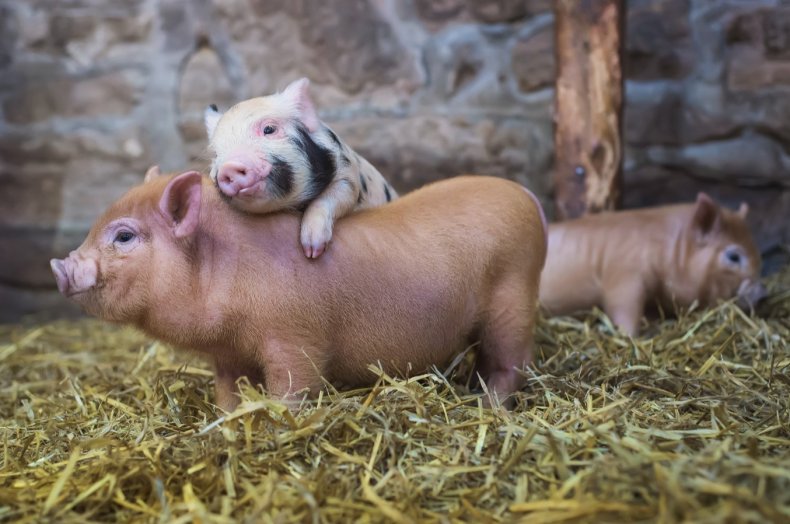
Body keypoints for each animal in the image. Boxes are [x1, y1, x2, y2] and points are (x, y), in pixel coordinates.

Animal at [48, 170, 544, 412]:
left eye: (124, 236)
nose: (60, 266)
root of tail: (527, 197)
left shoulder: (294, 338)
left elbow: (293, 386)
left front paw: (277, 421)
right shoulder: (228, 354)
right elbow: (228, 392)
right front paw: (228, 421)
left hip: (514, 298)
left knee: (511, 363)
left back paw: (487, 407)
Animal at [540, 193, 772, 336]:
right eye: (733, 256)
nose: (763, 294)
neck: (670, 251)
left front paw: (653, 327)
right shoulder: (624, 275)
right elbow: (624, 308)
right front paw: (635, 336)